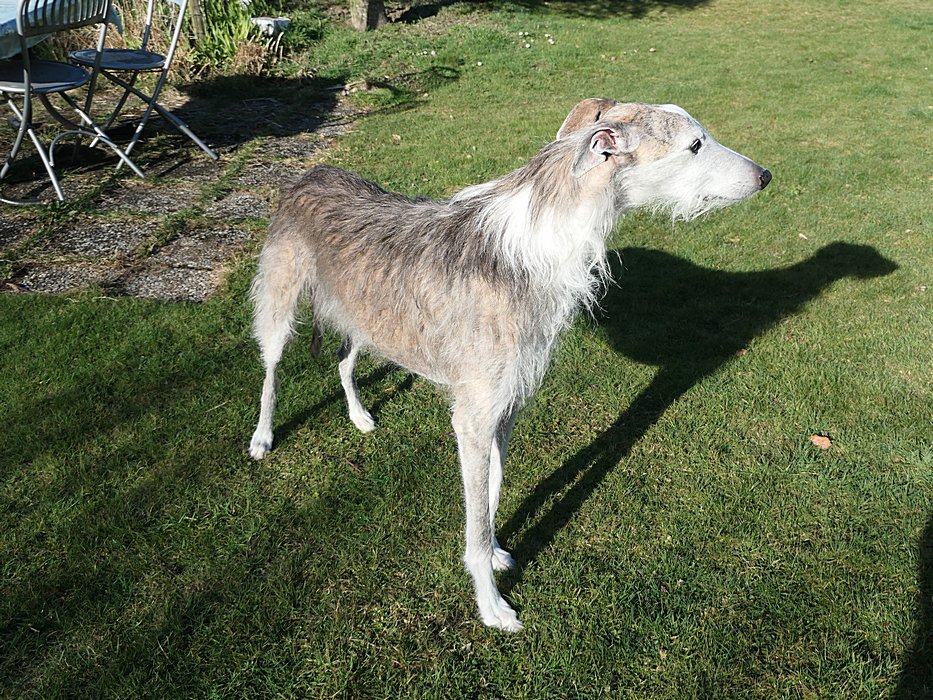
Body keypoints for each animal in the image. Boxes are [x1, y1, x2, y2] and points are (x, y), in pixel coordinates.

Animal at [248, 98, 771, 631]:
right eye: (695, 145)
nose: (766, 175)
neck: (544, 243)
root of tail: (310, 173)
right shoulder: (474, 418)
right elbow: (475, 523)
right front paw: (490, 603)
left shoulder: (507, 406)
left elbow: (492, 493)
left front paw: (499, 549)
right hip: (280, 304)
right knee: (271, 373)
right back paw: (263, 436)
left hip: (366, 319)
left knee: (343, 360)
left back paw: (358, 415)